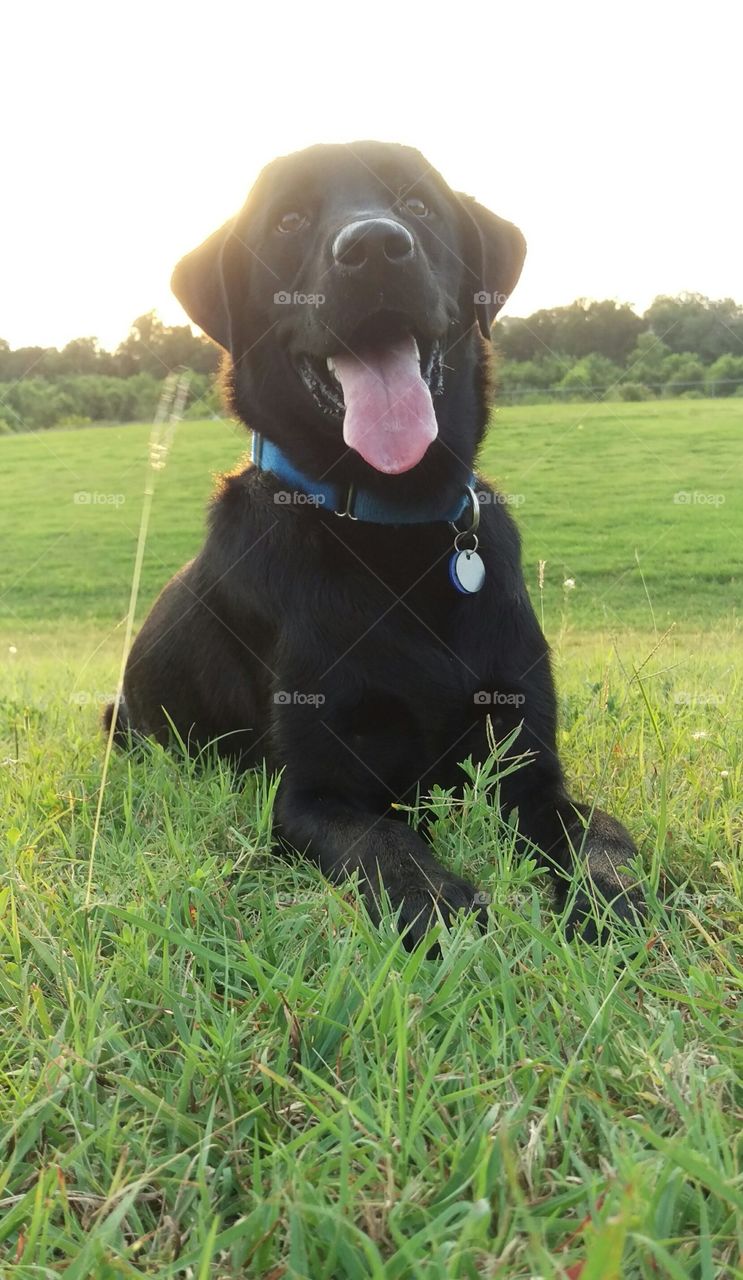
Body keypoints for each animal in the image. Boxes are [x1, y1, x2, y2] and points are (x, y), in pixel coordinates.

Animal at [105, 142, 643, 942]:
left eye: (417, 204)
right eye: (289, 220)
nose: (376, 248)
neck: (395, 531)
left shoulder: (529, 764)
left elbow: (598, 834)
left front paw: (612, 902)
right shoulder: (312, 793)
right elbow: (383, 844)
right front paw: (448, 915)